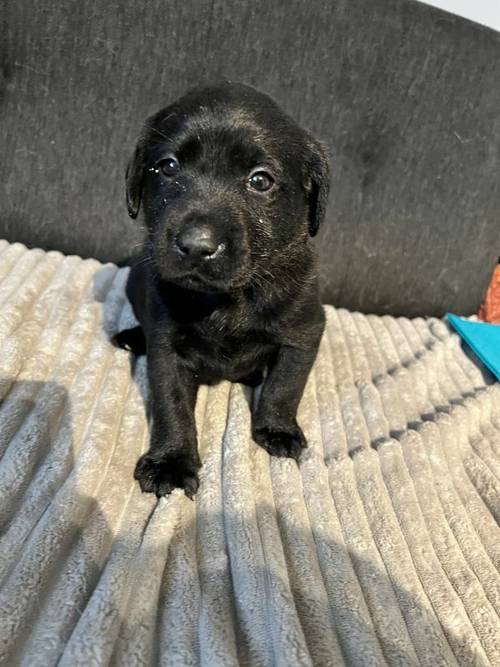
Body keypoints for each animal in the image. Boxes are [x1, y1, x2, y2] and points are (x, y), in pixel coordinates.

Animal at [115, 82, 330, 496]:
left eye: (260, 180)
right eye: (168, 167)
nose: (197, 245)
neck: (230, 297)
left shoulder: (304, 332)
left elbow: (285, 385)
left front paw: (277, 429)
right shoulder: (167, 346)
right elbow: (172, 405)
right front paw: (171, 460)